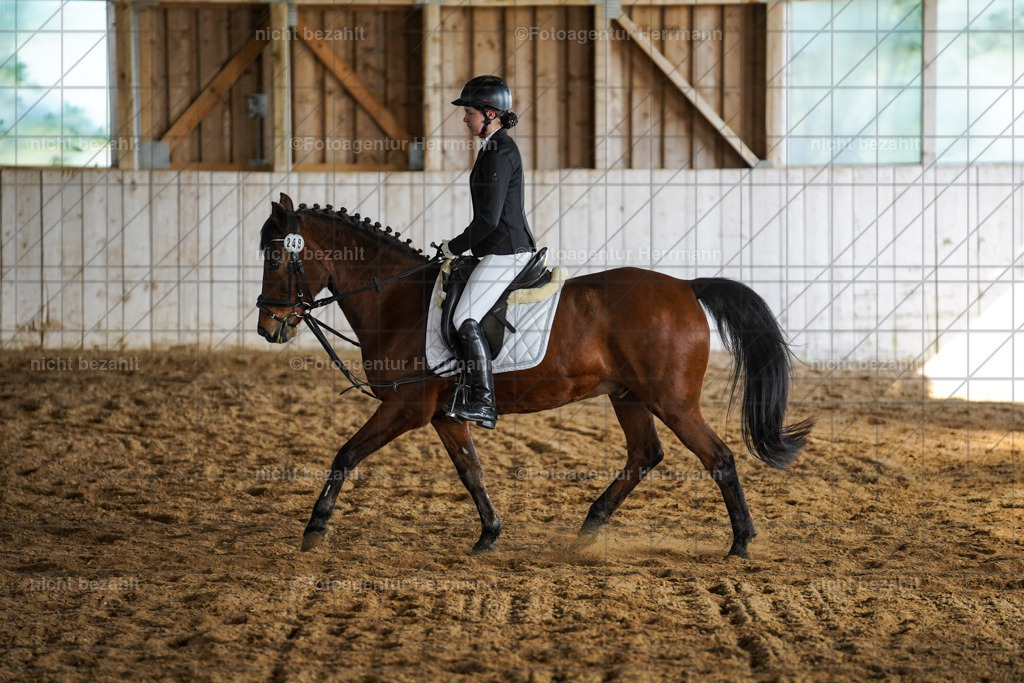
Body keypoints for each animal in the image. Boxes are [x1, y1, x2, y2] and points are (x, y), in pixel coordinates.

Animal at [256, 193, 814, 558]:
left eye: (278, 256)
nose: (267, 327)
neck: (397, 300)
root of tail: (686, 287)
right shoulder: (442, 414)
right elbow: (471, 471)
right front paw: (489, 534)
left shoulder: (405, 408)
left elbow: (345, 454)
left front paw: (315, 527)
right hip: (629, 396)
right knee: (645, 455)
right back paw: (589, 529)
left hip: (671, 401)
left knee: (718, 457)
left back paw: (740, 543)